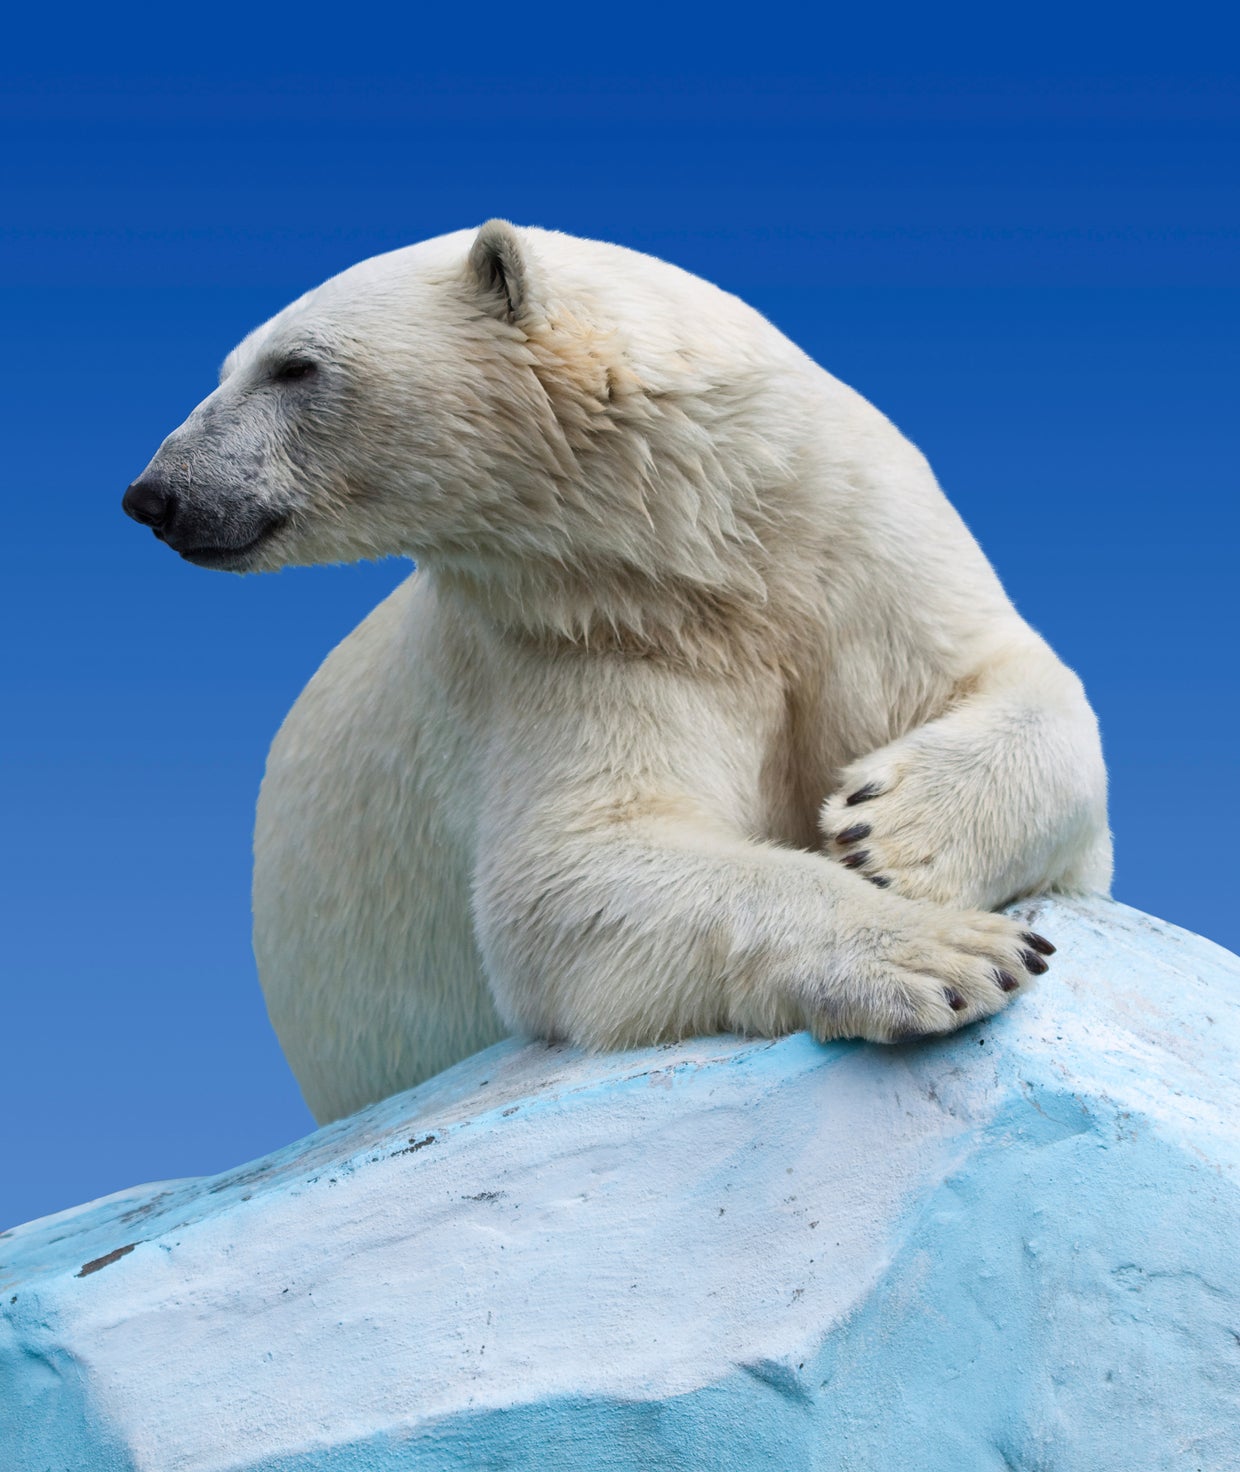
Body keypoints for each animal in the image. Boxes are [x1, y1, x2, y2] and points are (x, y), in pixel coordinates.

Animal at [123, 222, 1110, 1125]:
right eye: (234, 367)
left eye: (293, 367)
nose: (154, 494)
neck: (709, 536)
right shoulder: (578, 637)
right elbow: (576, 865)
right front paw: (953, 954)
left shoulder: (854, 551)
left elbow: (1010, 682)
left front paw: (887, 832)